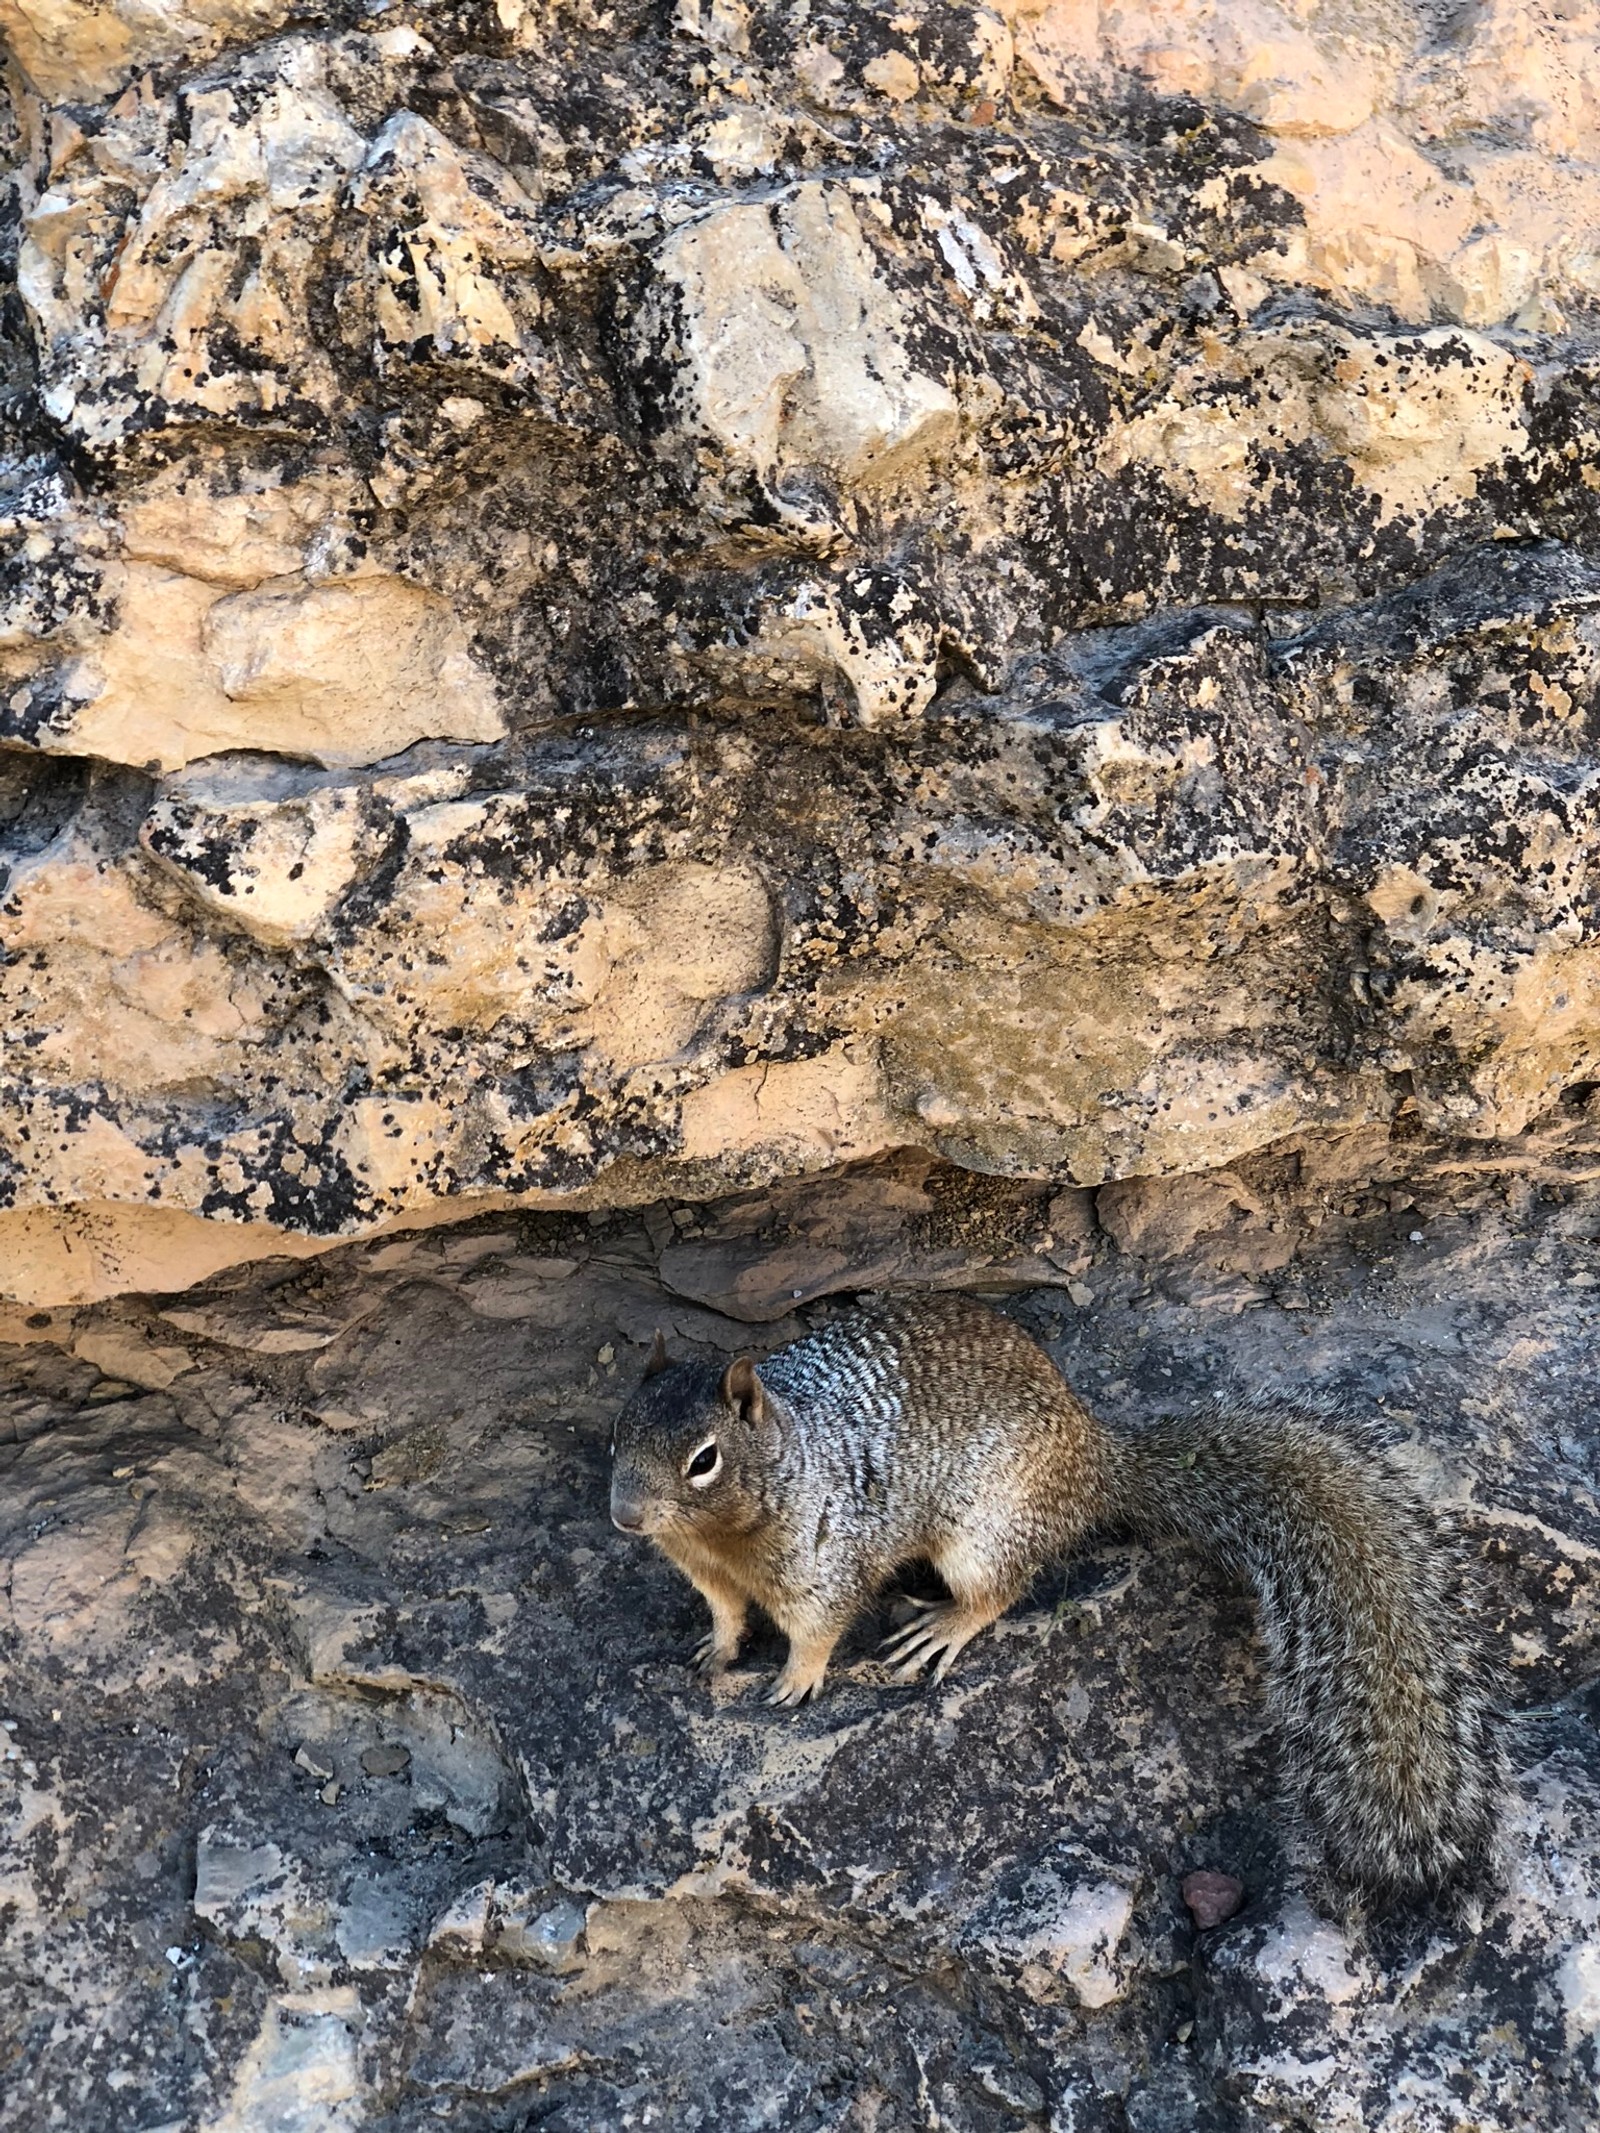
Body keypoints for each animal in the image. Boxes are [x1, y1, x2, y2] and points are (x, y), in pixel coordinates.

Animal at [610, 1279, 1501, 1902]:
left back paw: (942, 1625)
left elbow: (818, 1626)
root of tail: (1096, 1459)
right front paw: (717, 1648)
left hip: (983, 1533)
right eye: (617, 1430)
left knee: (1002, 1589)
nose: (623, 1515)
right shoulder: (705, 1570)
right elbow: (726, 1612)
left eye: (703, 1459)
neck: (729, 1531)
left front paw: (797, 1678)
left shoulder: (824, 1559)